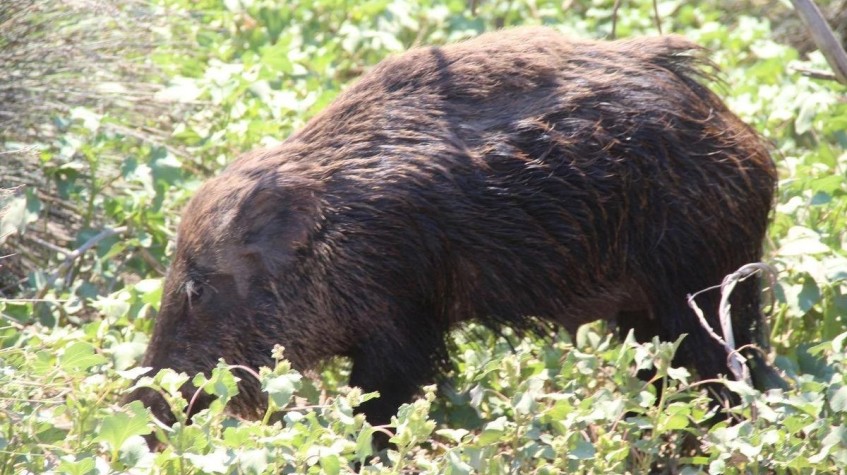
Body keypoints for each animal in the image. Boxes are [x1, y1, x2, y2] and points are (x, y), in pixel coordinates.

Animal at [125, 26, 782, 439]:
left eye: (197, 288)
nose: (137, 408)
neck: (333, 237)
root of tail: (754, 149)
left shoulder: (401, 322)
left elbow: (383, 404)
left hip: (698, 286)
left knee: (728, 376)